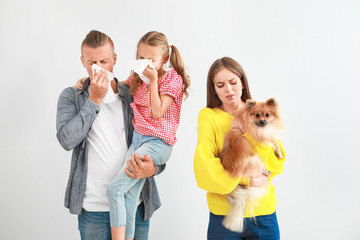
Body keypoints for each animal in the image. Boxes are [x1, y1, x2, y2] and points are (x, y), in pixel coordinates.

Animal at [221, 97, 282, 232]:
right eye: (257, 115)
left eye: (267, 115)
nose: (263, 121)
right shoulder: (261, 138)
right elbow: (273, 140)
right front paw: (278, 152)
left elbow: (274, 139)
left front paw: (278, 152)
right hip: (254, 161)